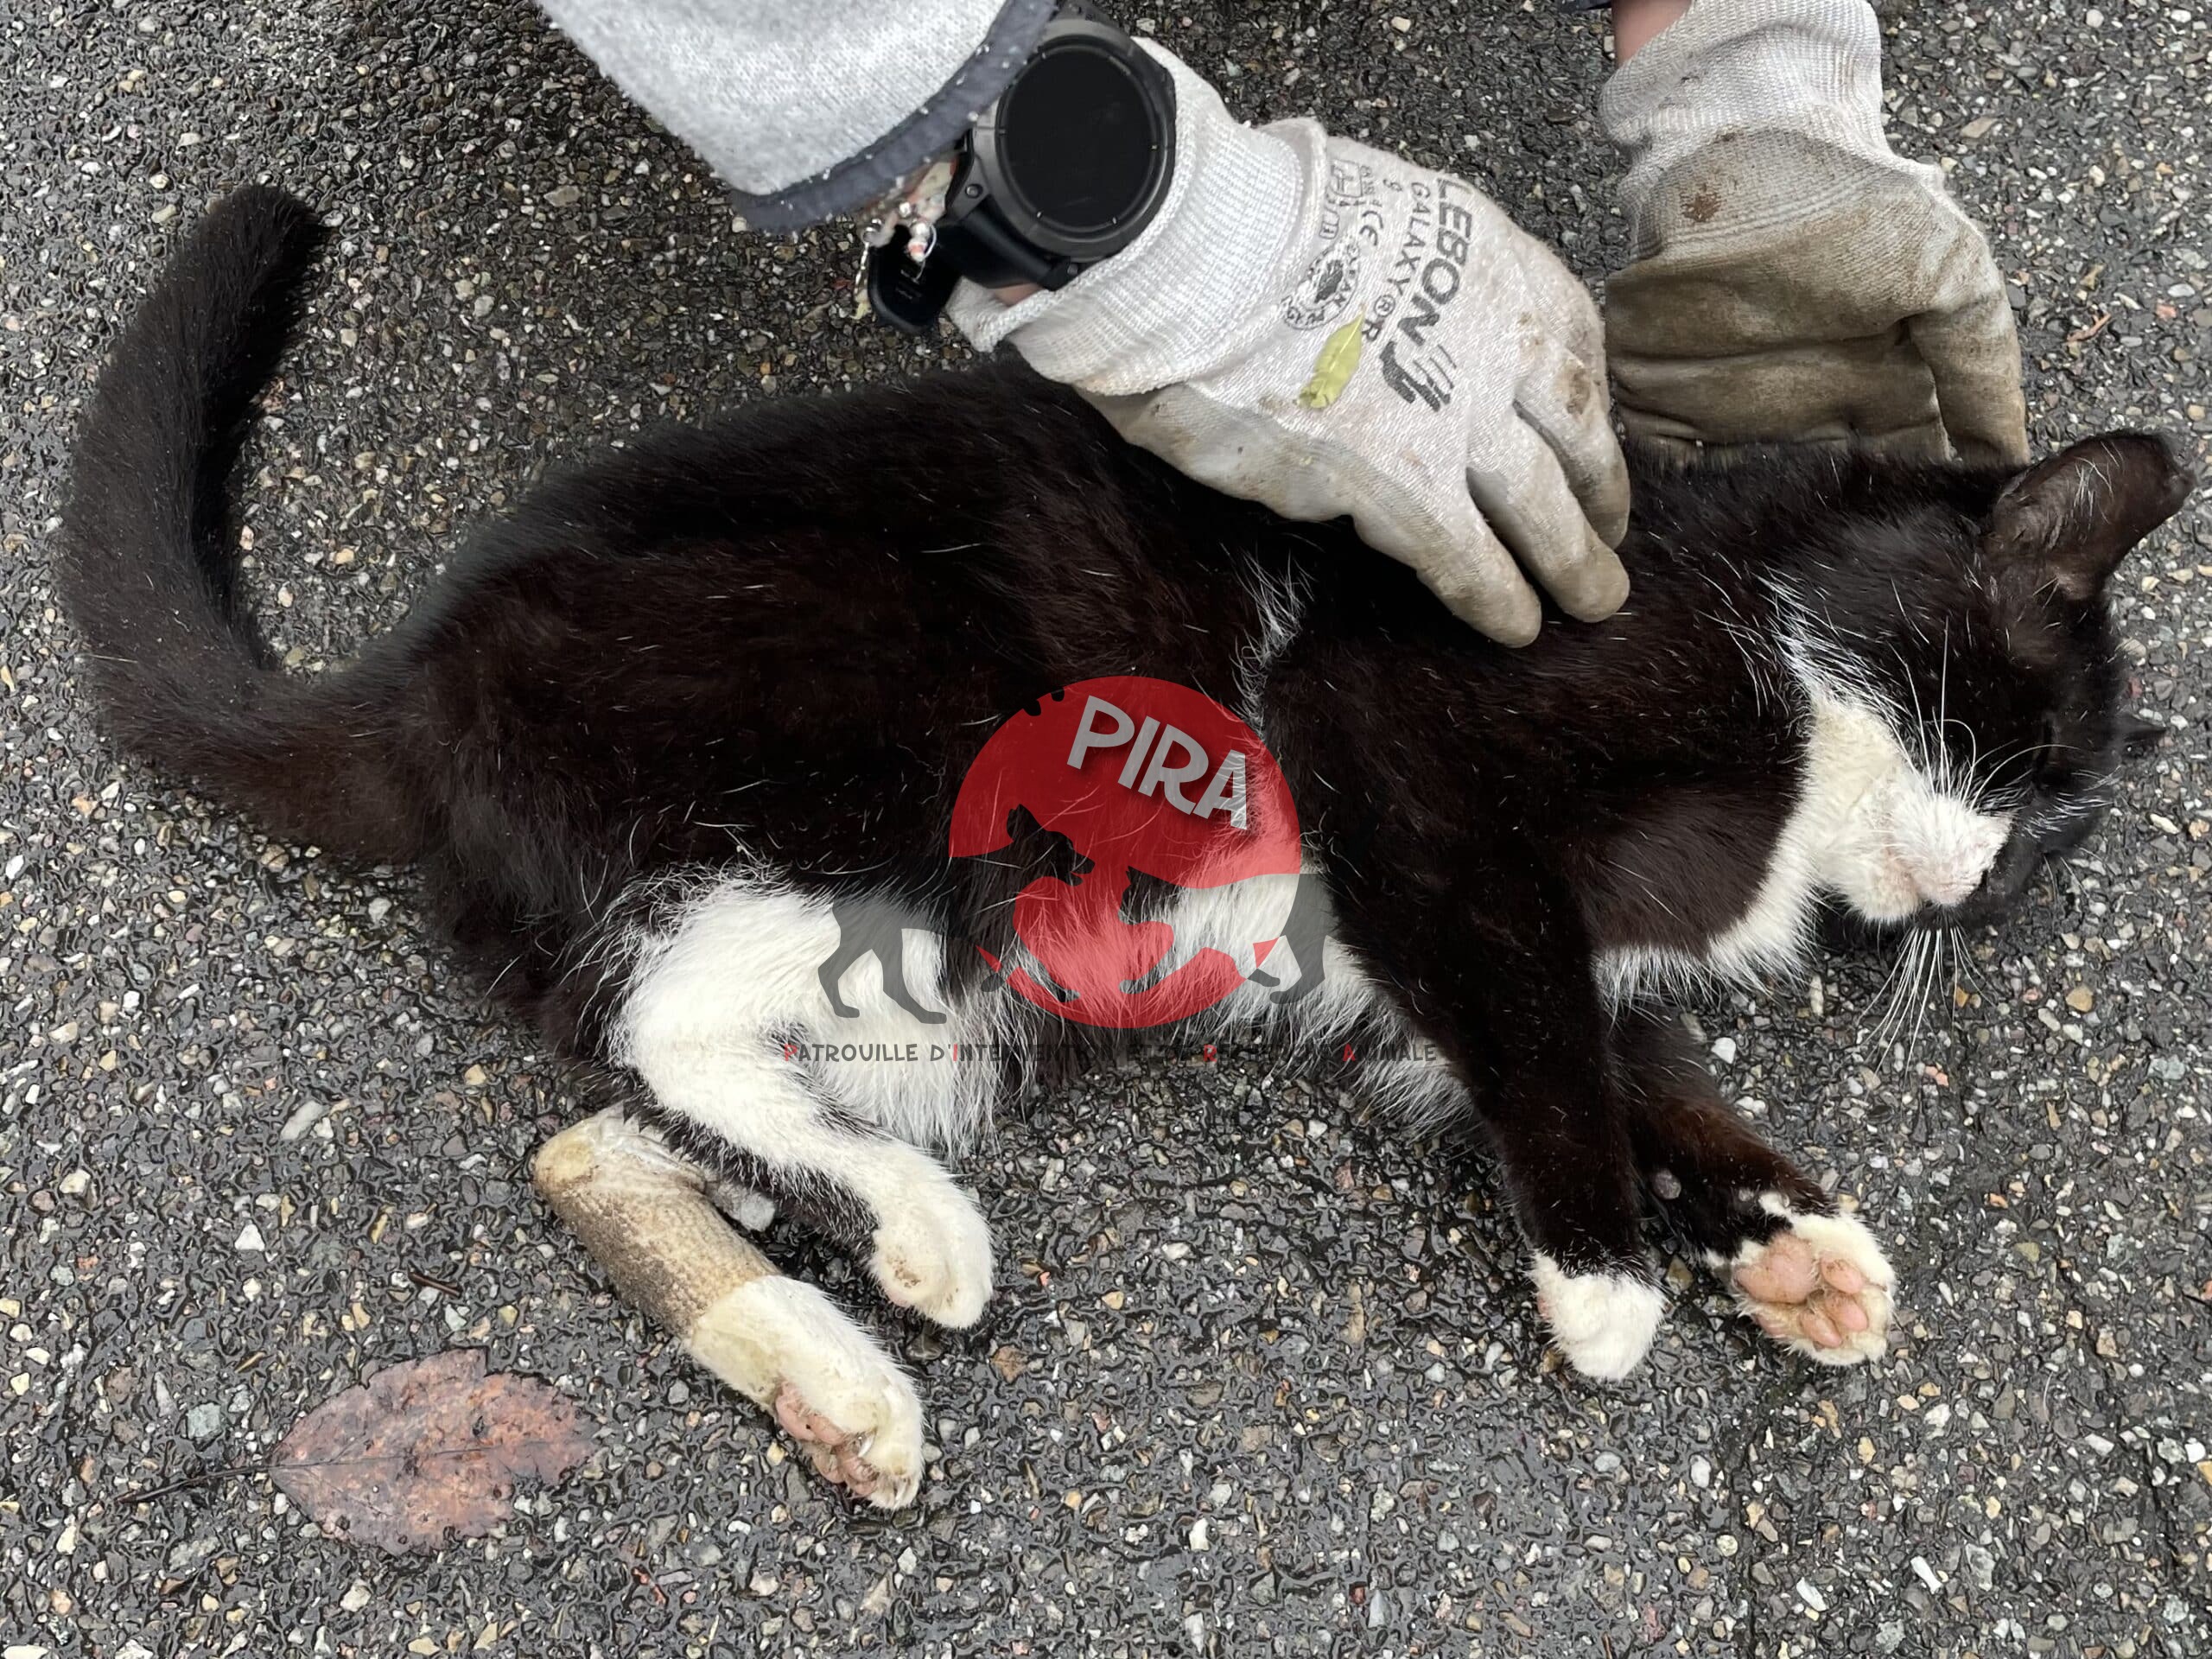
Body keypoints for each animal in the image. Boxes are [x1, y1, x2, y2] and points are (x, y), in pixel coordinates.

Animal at [59, 189, 2190, 1507]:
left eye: (2038, 851)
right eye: (2015, 758)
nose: (1973, 885)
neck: (1765, 640)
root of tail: (419, 679)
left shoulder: (1436, 931)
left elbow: (1611, 1052)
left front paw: (1789, 1241)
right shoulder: (1393, 749)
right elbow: (1547, 1042)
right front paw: (1603, 1280)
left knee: (602, 1121)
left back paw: (837, 1354)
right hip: (909, 785)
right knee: (656, 1031)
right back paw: (914, 1244)